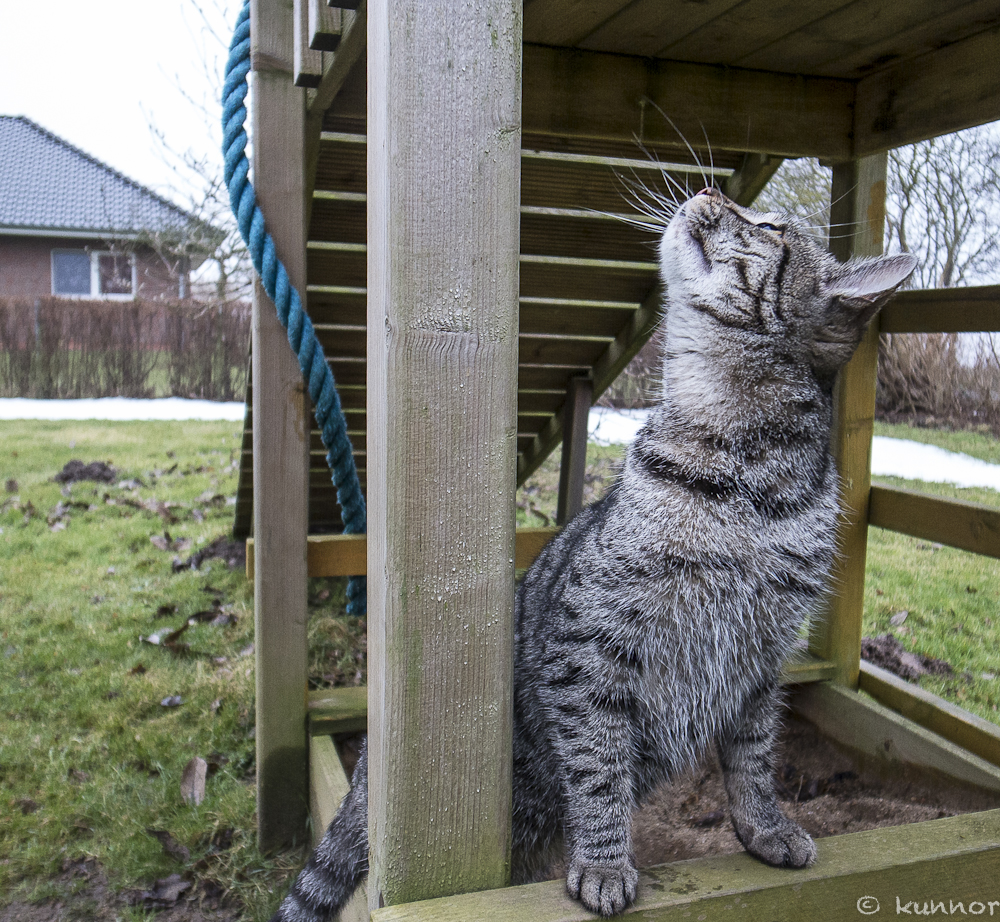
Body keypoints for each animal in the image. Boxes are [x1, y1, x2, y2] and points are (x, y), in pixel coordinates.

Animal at [270, 185, 916, 912]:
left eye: (771, 224)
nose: (708, 189)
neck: (743, 469)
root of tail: (361, 786)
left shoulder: (758, 664)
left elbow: (753, 762)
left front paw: (764, 829)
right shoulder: (590, 651)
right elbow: (600, 767)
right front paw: (605, 863)